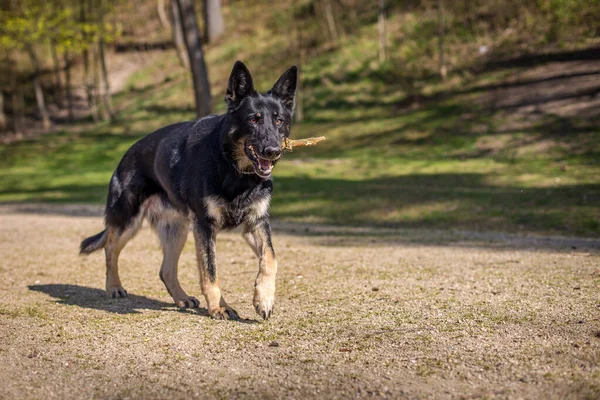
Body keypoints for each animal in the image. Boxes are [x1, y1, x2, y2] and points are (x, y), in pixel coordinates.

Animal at [79, 61, 296, 320]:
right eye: (253, 120)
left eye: (279, 121)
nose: (273, 151)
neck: (234, 169)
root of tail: (127, 154)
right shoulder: (205, 227)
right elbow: (210, 272)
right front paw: (219, 307)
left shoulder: (256, 224)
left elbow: (271, 258)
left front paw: (264, 298)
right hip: (128, 222)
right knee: (110, 248)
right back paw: (114, 286)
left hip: (177, 232)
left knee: (165, 270)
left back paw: (181, 298)